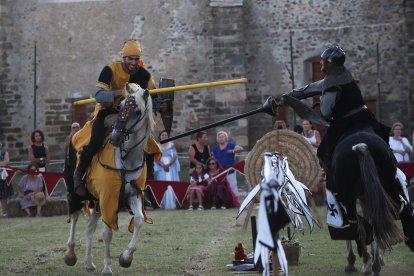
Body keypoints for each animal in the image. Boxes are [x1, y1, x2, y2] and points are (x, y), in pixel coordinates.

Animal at [64, 83, 155, 274]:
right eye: (121, 106)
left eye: (137, 111)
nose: (115, 137)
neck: (127, 159)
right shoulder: (108, 198)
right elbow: (107, 233)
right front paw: (107, 268)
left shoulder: (133, 195)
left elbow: (139, 220)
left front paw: (126, 258)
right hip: (75, 193)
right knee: (74, 217)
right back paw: (70, 254)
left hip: (97, 202)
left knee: (90, 228)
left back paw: (89, 263)